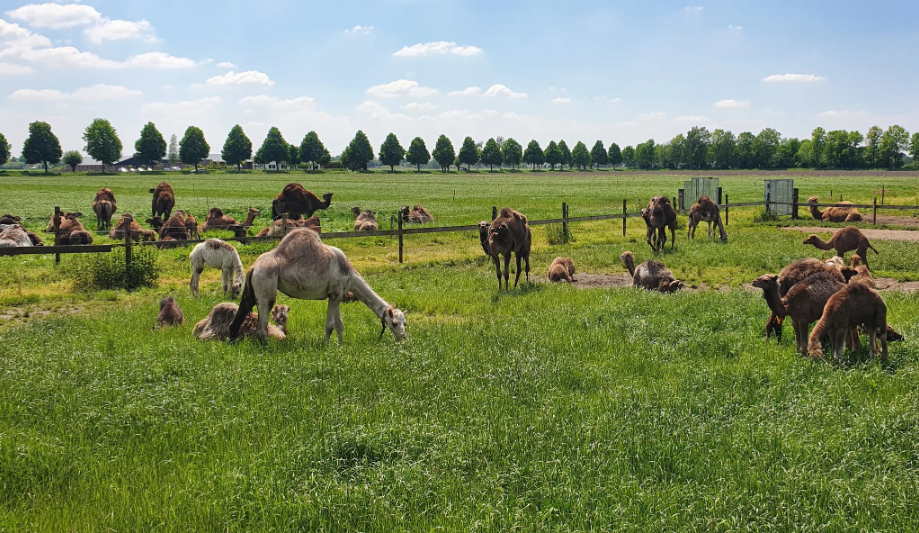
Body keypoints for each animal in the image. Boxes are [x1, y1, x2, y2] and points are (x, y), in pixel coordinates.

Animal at [227, 228, 406, 342]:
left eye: (405, 323)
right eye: (394, 323)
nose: (404, 337)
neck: (349, 272)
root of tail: (253, 268)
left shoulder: (338, 294)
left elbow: (339, 324)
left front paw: (340, 345)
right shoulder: (334, 294)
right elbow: (330, 325)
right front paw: (326, 345)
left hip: (253, 288)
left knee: (243, 310)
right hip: (266, 285)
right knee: (262, 326)